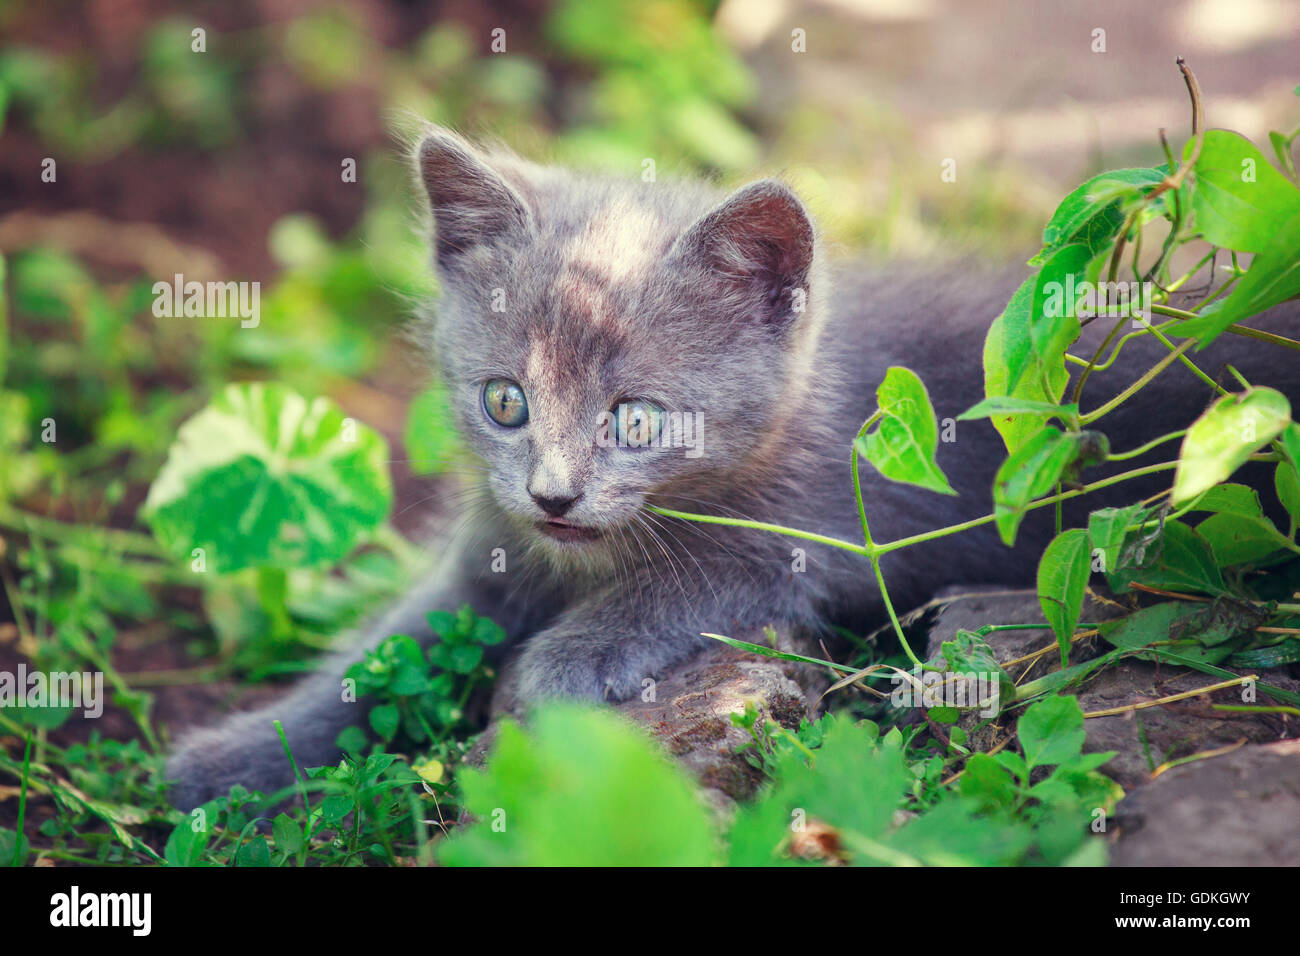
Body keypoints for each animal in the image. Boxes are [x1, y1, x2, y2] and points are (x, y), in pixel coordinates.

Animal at [170, 125, 1300, 806]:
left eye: (635, 420)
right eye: (505, 401)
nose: (551, 494)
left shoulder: (817, 533)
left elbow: (690, 576)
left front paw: (555, 663)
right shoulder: (484, 558)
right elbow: (377, 654)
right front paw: (232, 760)